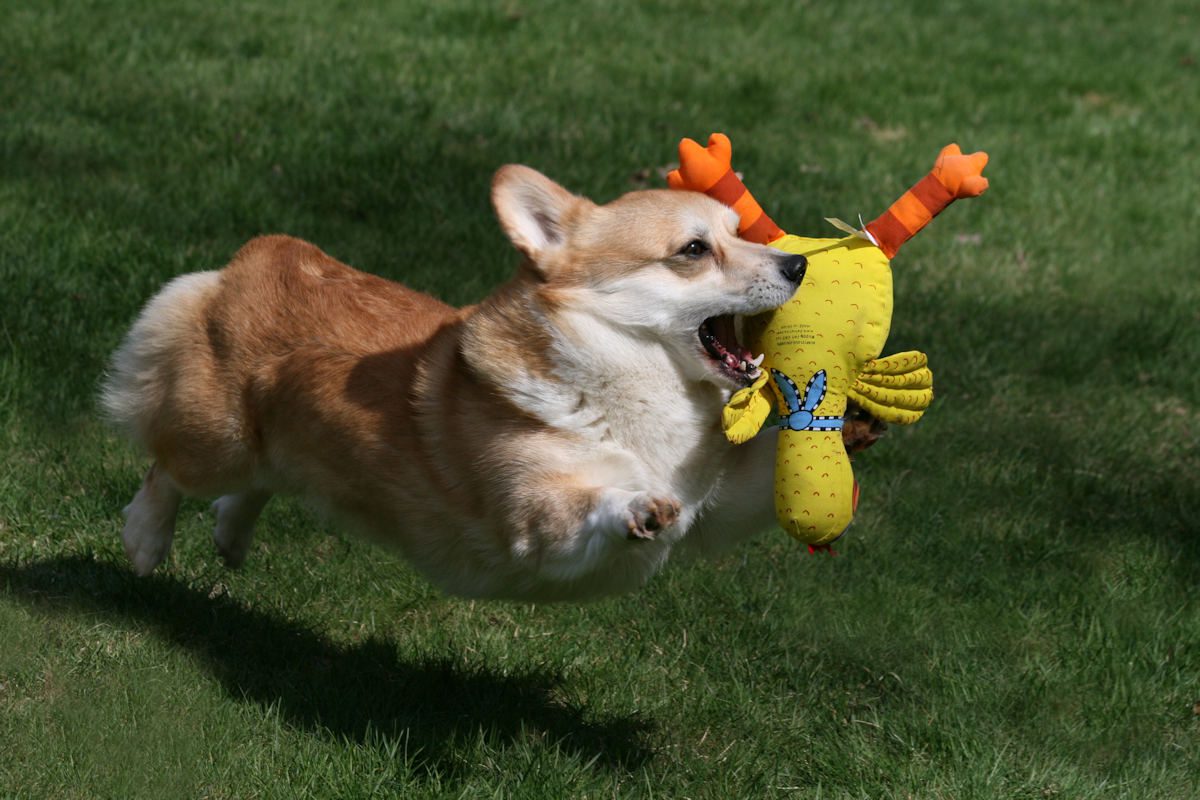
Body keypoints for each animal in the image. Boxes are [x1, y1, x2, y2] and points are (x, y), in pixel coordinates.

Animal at [100, 164, 806, 599]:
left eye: (740, 232)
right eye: (694, 250)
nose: (798, 263)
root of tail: (256, 257)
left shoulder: (718, 511)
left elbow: (757, 478)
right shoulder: (535, 526)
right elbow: (589, 506)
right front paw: (638, 505)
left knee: (258, 482)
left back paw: (230, 535)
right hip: (216, 440)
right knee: (167, 469)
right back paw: (145, 541)